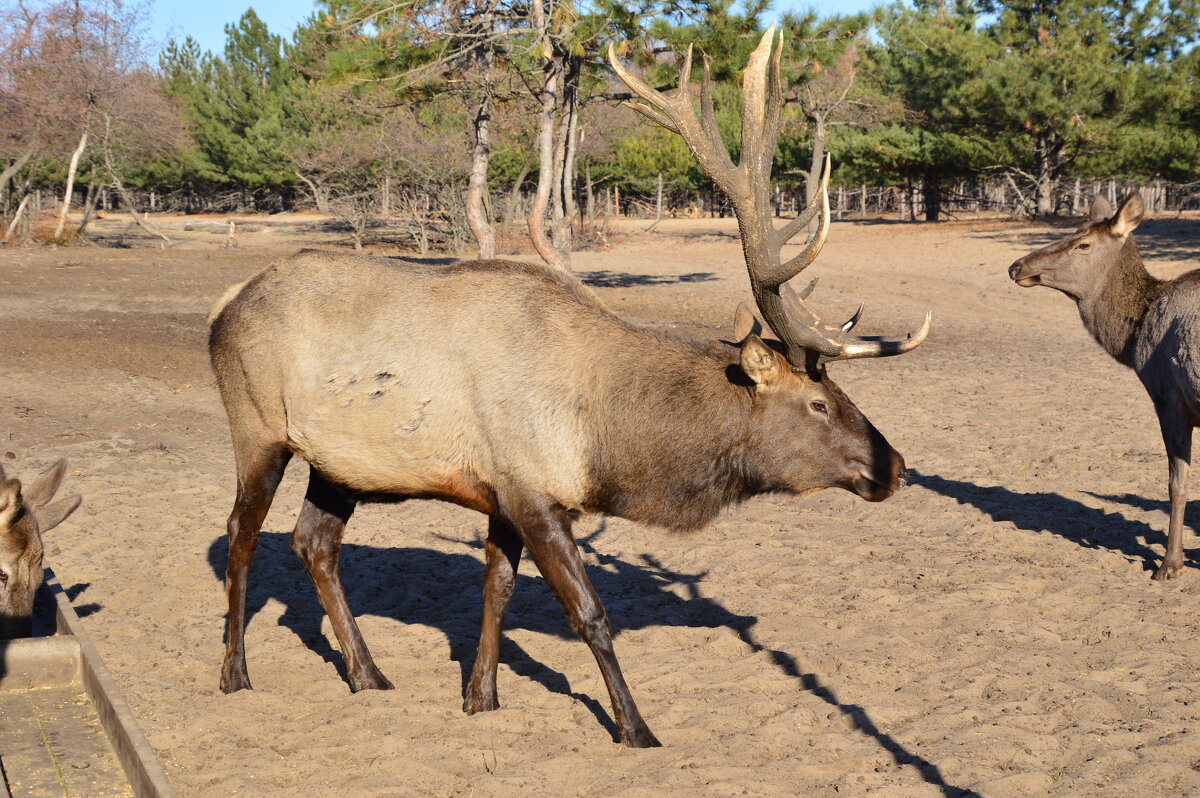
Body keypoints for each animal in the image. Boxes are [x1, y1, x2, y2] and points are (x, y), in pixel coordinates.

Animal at [211, 26, 931, 748]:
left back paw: (368, 674)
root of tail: (224, 305)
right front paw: (636, 728)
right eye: (819, 402)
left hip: (340, 463)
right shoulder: (535, 491)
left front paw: (481, 697)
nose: (895, 465)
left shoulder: (503, 492)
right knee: (242, 534)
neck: (608, 437)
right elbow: (589, 613)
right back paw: (235, 673)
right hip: (257, 429)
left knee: (314, 542)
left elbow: (496, 593)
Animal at [1008, 190, 1195, 583]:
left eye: (1083, 244)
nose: (1017, 266)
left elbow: (1177, 484)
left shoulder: (1170, 401)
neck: (1133, 338)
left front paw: (1168, 565)